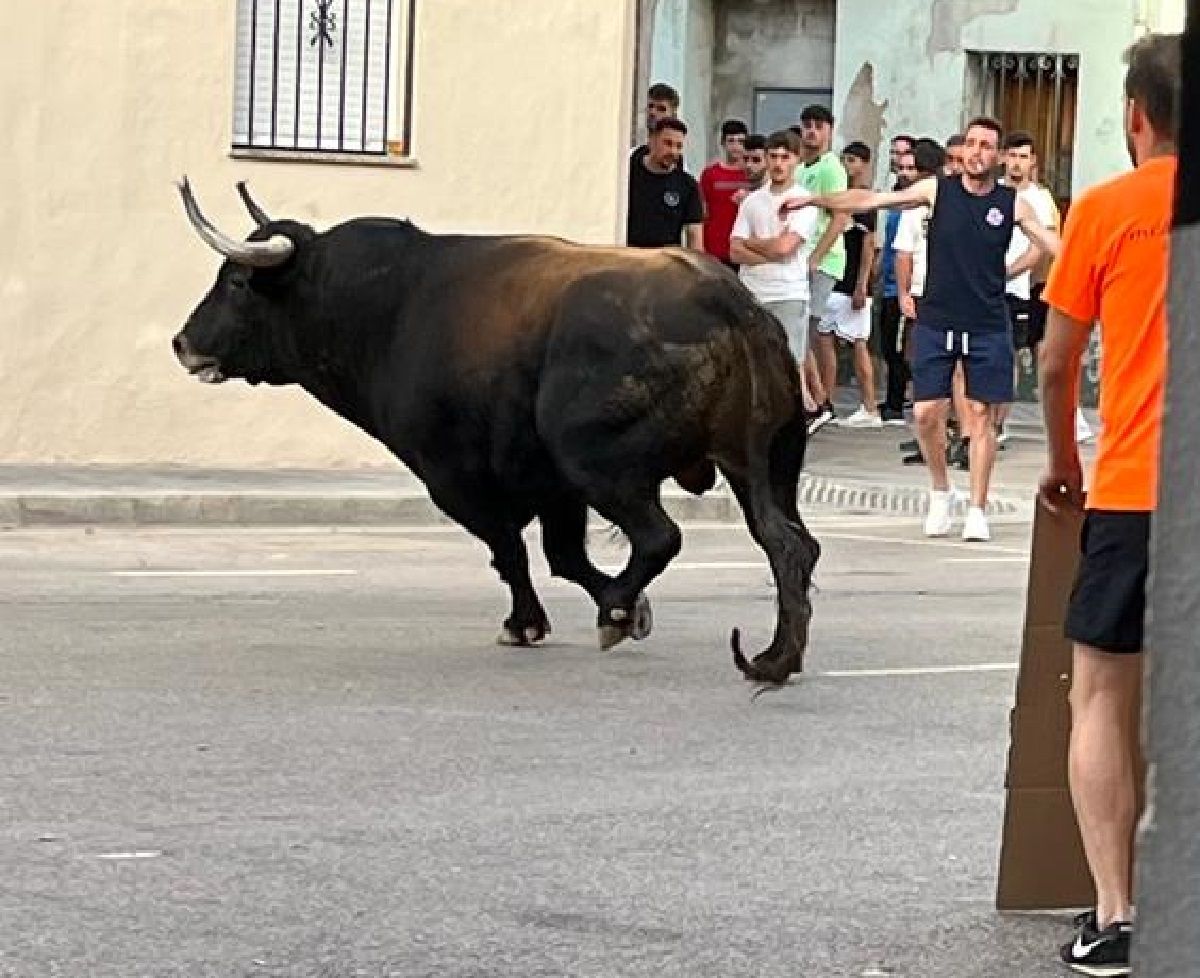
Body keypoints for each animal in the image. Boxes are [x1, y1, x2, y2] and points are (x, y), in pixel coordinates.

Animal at [171, 181, 816, 681]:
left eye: (237, 281)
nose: (183, 343)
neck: (391, 306)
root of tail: (730, 301)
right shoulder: (556, 488)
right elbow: (562, 556)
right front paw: (628, 612)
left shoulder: (454, 475)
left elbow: (509, 548)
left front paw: (532, 622)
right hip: (761, 465)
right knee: (789, 545)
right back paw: (775, 657)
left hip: (605, 468)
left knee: (662, 537)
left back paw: (621, 613)